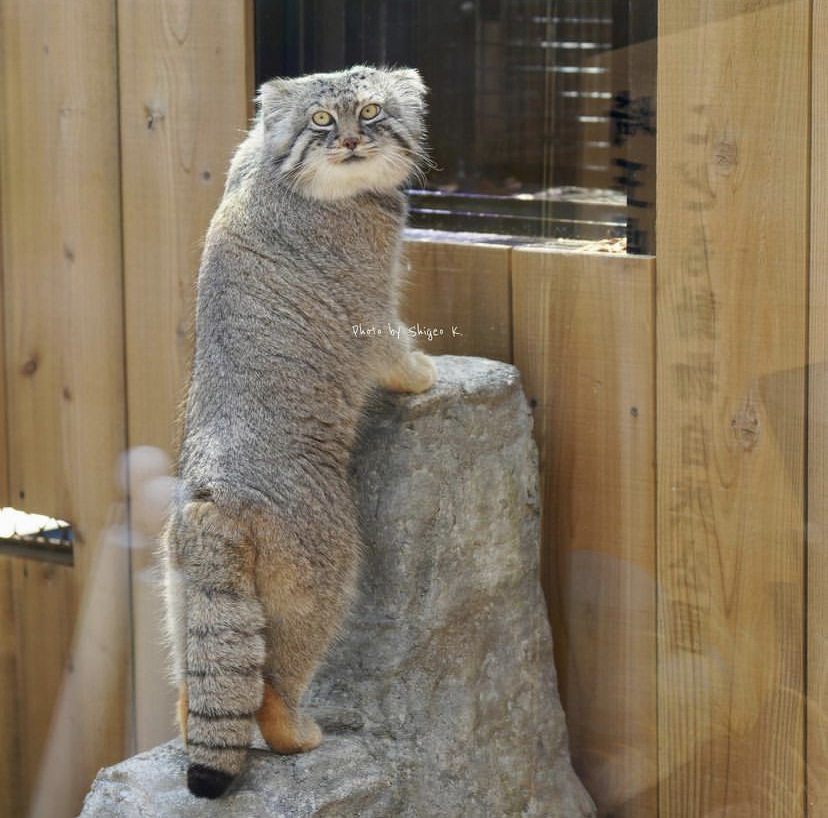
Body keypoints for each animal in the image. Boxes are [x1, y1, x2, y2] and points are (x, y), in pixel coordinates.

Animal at [158, 65, 436, 796]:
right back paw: (298, 734)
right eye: (321, 119)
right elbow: (392, 349)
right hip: (320, 577)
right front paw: (422, 374)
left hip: (181, 593)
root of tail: (217, 500)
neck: (281, 174)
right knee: (272, 684)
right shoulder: (368, 298)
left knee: (194, 685)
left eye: (371, 111)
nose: (348, 140)